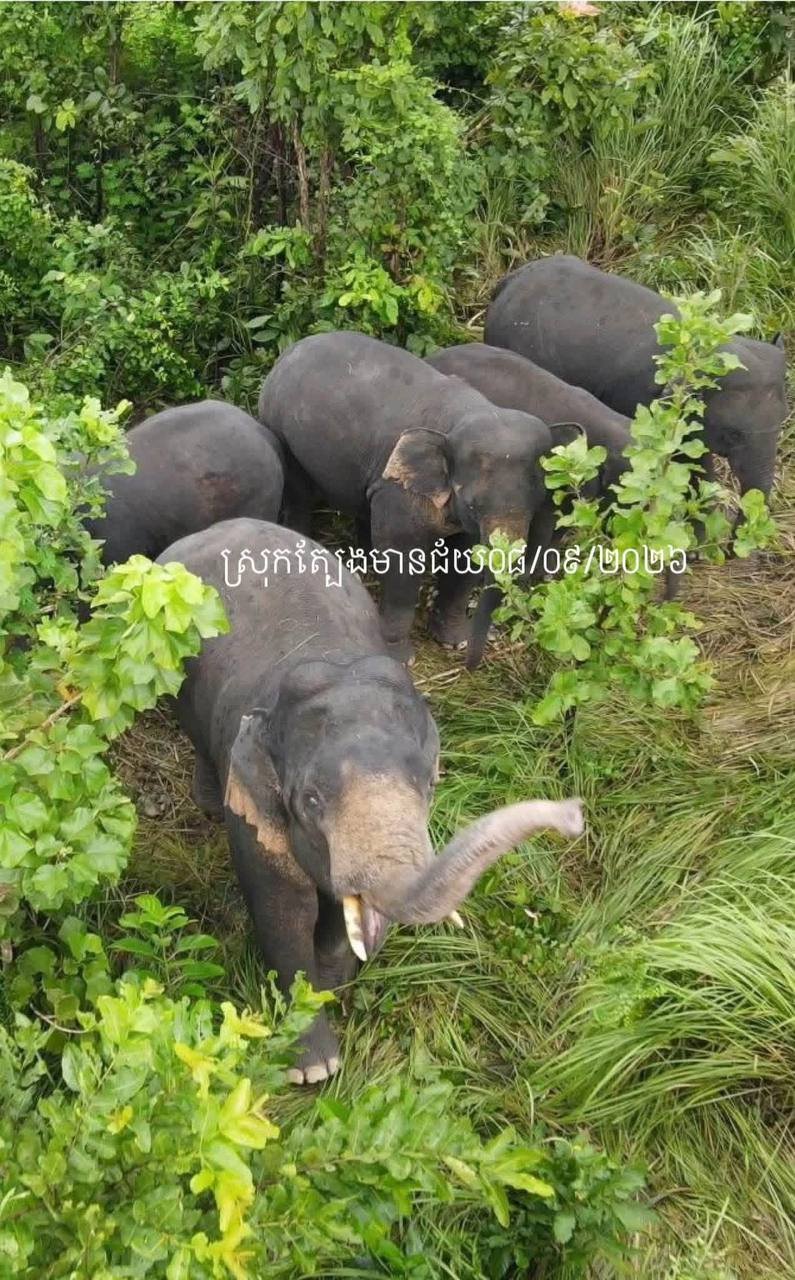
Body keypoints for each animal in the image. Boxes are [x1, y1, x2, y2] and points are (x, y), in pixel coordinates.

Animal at [157, 518, 583, 1083]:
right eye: (311, 801)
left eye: (430, 784)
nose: (574, 815)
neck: (334, 664)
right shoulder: (254, 812)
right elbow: (284, 912)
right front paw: (313, 1067)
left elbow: (341, 915)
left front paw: (331, 985)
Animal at [258, 330, 578, 667]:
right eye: (473, 505)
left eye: (535, 503)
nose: (471, 667)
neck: (466, 413)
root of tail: (290, 350)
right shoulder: (399, 493)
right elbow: (402, 560)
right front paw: (402, 659)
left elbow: (465, 557)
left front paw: (455, 641)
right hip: (279, 427)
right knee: (299, 494)